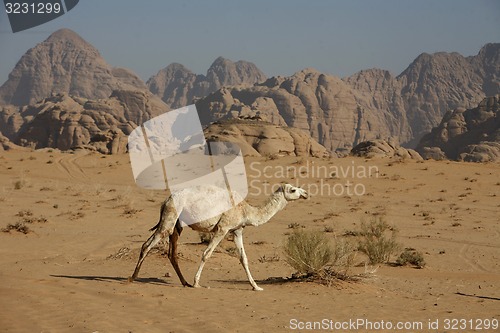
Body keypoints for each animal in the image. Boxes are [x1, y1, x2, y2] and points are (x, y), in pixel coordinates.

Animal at [128, 183, 308, 290]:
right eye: (293, 190)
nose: (306, 193)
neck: (246, 211)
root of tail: (166, 200)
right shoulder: (223, 228)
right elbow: (206, 254)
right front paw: (197, 283)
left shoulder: (237, 230)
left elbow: (243, 258)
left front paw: (256, 286)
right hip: (170, 217)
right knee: (148, 244)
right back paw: (132, 277)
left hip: (177, 224)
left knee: (172, 253)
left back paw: (184, 282)